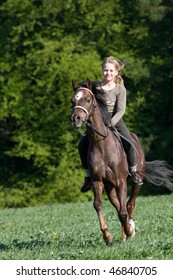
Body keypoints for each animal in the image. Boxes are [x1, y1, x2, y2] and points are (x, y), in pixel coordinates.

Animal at [70, 78, 173, 243]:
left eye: (87, 99)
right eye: (72, 100)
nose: (75, 119)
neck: (101, 143)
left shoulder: (121, 181)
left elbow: (124, 211)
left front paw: (130, 231)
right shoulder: (98, 181)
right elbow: (98, 205)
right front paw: (107, 236)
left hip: (136, 181)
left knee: (129, 205)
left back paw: (130, 230)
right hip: (110, 187)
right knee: (119, 206)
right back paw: (124, 235)